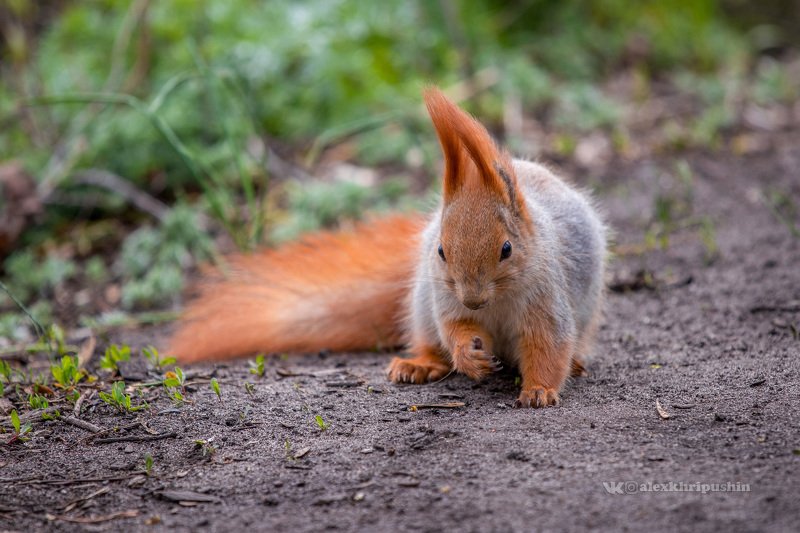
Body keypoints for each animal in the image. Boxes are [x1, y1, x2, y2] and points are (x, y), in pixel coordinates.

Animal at [166, 87, 607, 408]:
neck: (496, 304)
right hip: (422, 302)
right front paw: (468, 354)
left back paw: (576, 364)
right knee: (430, 341)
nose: (473, 298)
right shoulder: (446, 301)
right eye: (441, 251)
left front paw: (539, 391)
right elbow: (455, 329)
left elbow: (549, 345)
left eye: (507, 249)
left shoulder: (547, 302)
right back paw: (418, 365)